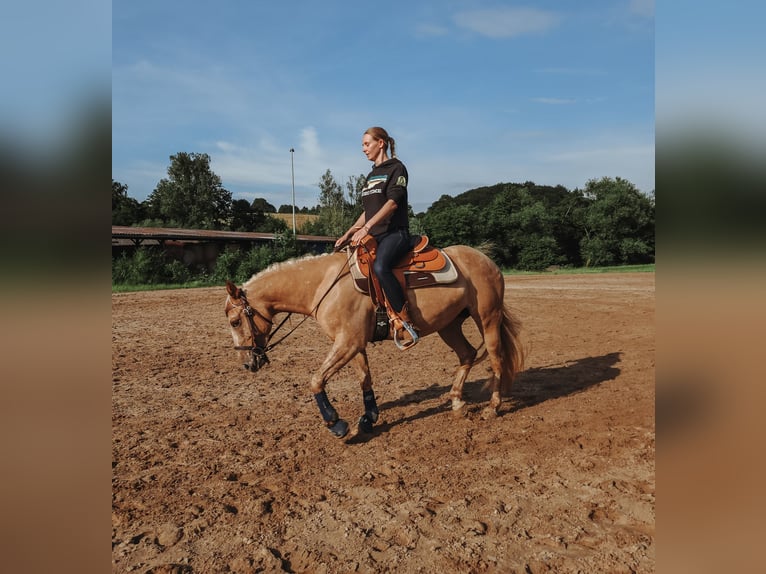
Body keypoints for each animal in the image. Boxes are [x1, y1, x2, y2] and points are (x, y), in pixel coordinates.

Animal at [222, 244, 520, 440]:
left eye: (235, 322)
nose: (247, 363)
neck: (324, 285)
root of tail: (485, 259)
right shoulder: (354, 344)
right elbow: (365, 380)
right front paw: (368, 418)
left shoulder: (348, 343)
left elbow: (316, 380)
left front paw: (337, 424)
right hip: (448, 325)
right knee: (467, 354)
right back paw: (457, 402)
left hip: (487, 319)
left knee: (496, 360)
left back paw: (492, 408)